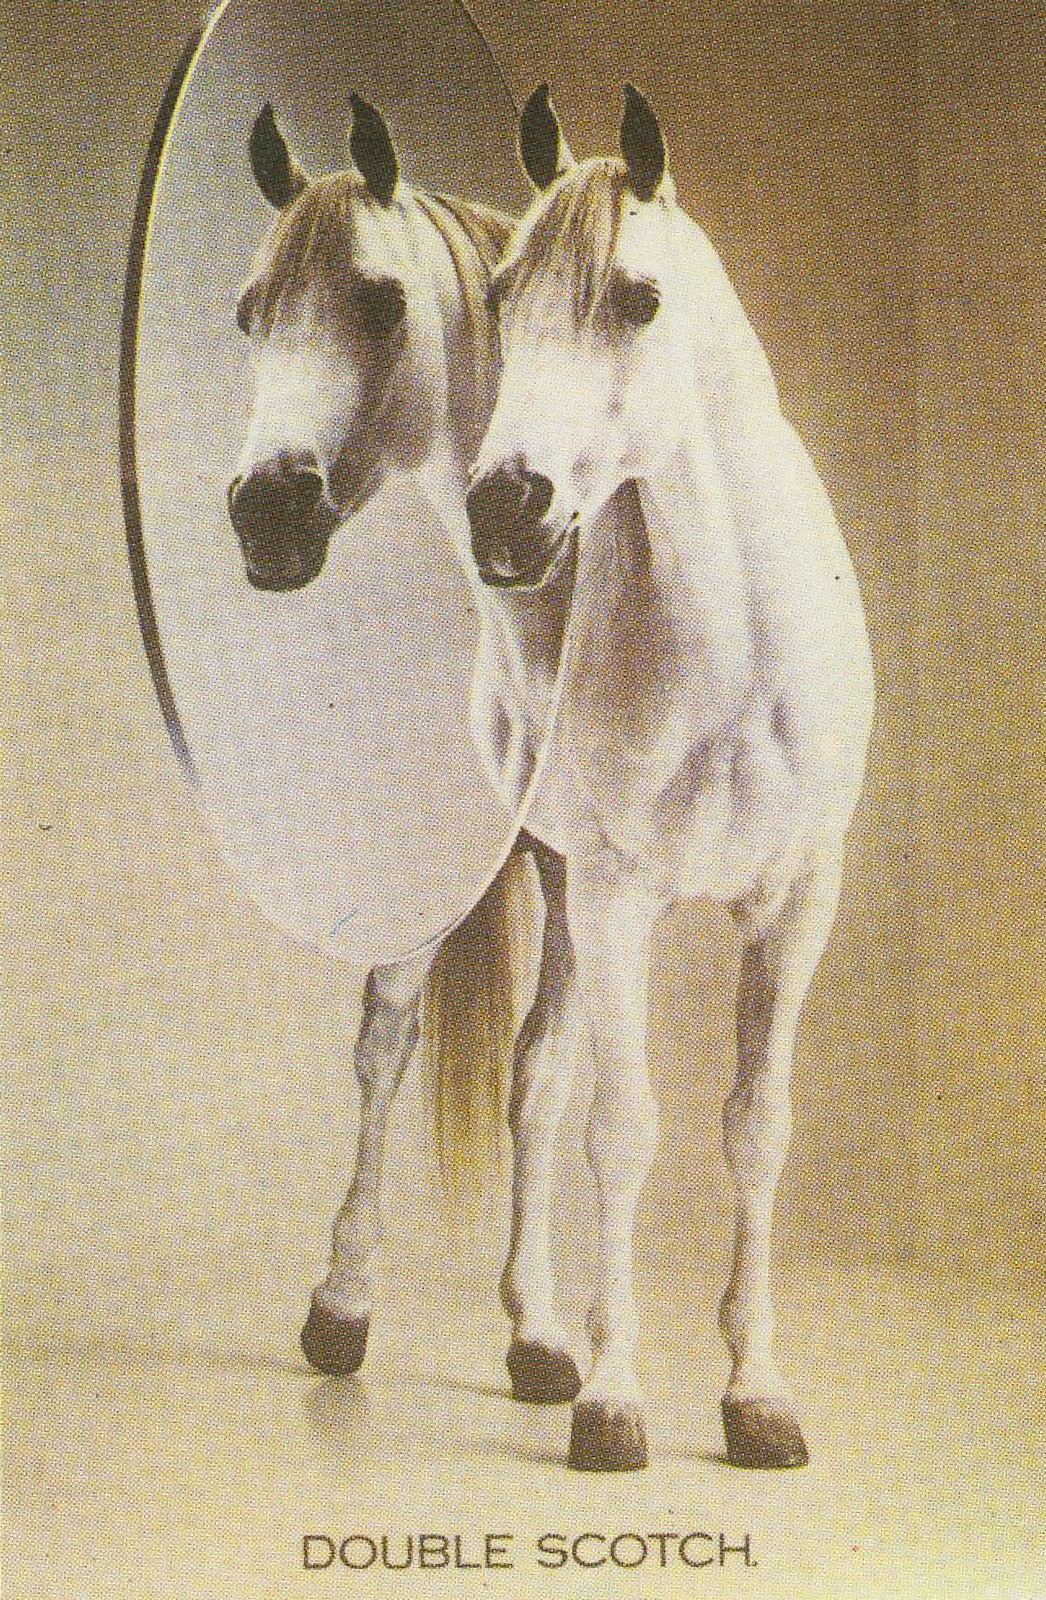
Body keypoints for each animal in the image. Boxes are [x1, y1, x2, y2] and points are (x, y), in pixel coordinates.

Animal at [228, 98, 586, 1408]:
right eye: (250, 312)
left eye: (379, 302)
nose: (265, 513)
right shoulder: (437, 846)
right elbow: (383, 1039)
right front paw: (342, 1302)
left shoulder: (579, 869)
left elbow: (539, 1075)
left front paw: (538, 1330)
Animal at [464, 85, 875, 1472]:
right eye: (501, 294)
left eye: (636, 297)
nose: (506, 510)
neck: (735, 646)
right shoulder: (619, 896)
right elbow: (624, 1128)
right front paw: (614, 1400)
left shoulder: (794, 904)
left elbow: (753, 1128)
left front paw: (754, 1395)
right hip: (516, 885)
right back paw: (366, 1322)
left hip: (561, 891)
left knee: (535, 1078)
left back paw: (539, 1335)